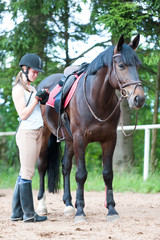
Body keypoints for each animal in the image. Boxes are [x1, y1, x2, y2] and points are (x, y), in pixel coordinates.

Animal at [36, 34, 145, 222]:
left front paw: (111, 210)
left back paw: (68, 205)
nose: (139, 98)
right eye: (121, 65)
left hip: (69, 140)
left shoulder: (109, 139)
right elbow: (81, 175)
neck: (96, 99)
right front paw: (80, 212)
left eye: (137, 66)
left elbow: (107, 174)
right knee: (42, 165)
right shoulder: (81, 139)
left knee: (65, 167)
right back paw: (42, 206)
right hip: (45, 134)